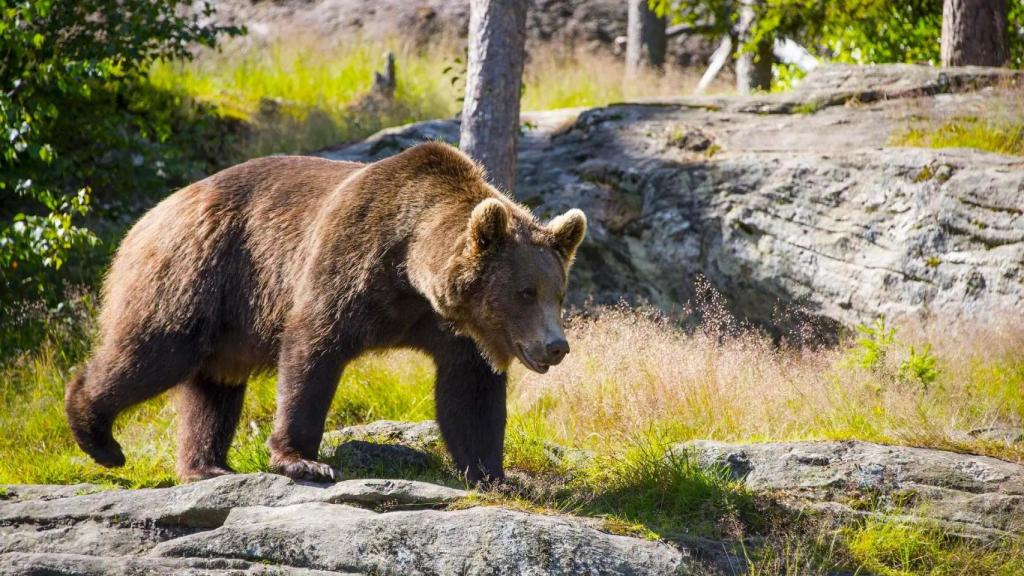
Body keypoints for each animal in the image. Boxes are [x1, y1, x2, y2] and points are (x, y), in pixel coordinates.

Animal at [64, 142, 587, 484]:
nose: (555, 346)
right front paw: (303, 459)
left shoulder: (452, 328)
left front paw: (494, 474)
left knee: (214, 386)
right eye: (525, 291)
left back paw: (206, 465)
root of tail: (153, 212)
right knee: (154, 352)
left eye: (558, 292)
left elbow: (470, 393)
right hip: (196, 272)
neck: (410, 271)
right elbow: (313, 350)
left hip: (226, 319)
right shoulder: (349, 263)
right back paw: (98, 436)